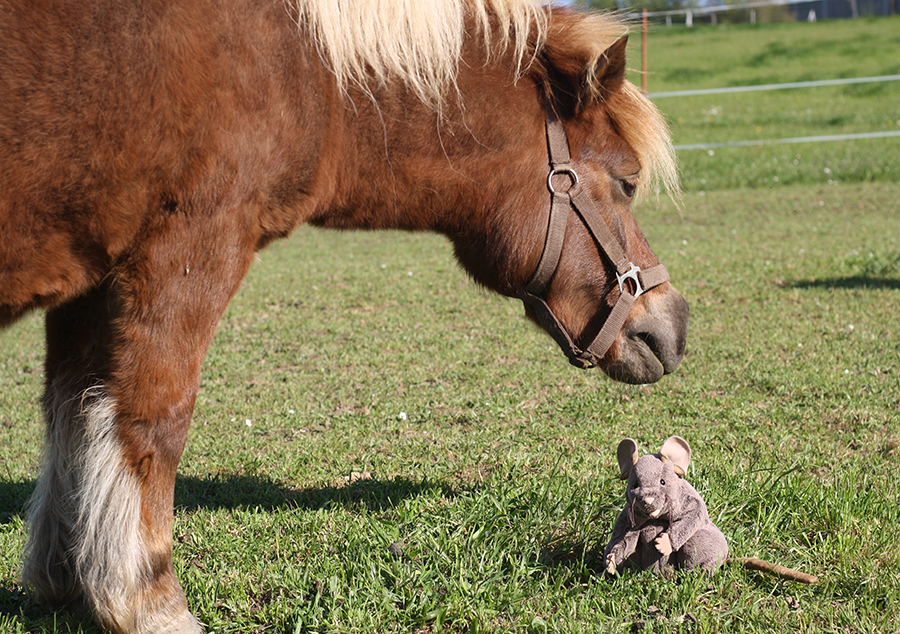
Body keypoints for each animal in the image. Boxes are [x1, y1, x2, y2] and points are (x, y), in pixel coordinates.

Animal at [0, 2, 688, 628]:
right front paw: (147, 600)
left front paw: (66, 579)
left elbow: (74, 412)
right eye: (627, 182)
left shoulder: (90, 283)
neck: (309, 73)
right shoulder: (185, 253)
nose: (672, 326)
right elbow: (151, 420)